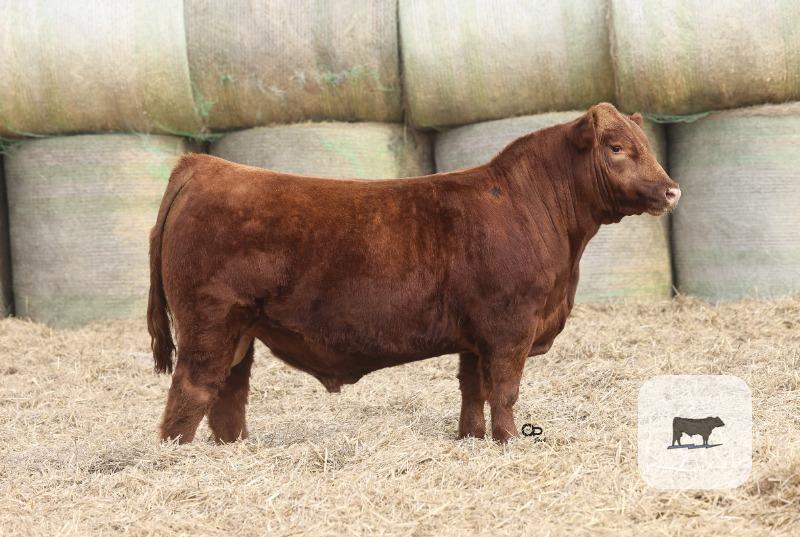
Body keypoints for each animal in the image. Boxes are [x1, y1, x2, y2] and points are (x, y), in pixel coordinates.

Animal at [147, 102, 681, 444]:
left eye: (645, 145)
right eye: (617, 148)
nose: (672, 190)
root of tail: (204, 165)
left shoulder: (475, 337)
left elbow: (473, 391)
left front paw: (471, 439)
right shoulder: (510, 329)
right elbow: (504, 391)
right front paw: (511, 441)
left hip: (241, 330)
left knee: (228, 395)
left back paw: (236, 449)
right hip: (211, 322)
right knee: (191, 392)